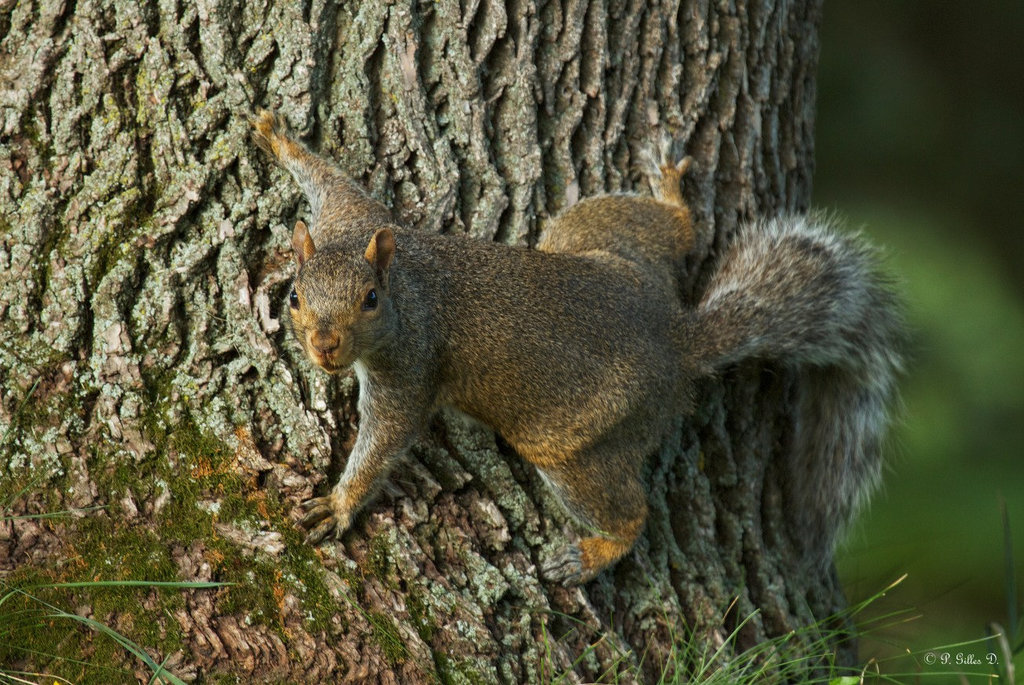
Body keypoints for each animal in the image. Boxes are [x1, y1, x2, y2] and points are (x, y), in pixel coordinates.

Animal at [247, 109, 905, 581]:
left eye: (370, 301)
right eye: (294, 296)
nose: (325, 348)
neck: (404, 284)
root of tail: (676, 339)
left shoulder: (409, 370)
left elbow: (385, 439)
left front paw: (340, 504)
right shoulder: (351, 218)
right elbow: (335, 182)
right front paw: (276, 136)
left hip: (574, 445)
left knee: (630, 512)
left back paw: (593, 556)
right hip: (602, 237)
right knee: (676, 230)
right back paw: (670, 191)